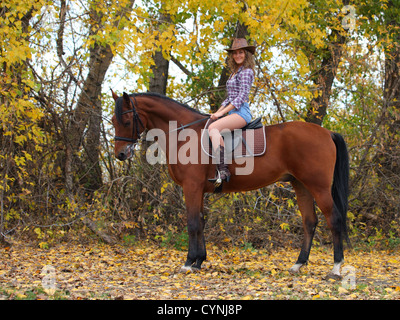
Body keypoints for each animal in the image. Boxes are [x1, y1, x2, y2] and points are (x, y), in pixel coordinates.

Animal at [111, 91, 348, 278]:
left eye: (126, 121)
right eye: (114, 121)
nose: (120, 155)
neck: (184, 135)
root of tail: (327, 132)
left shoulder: (191, 187)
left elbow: (192, 223)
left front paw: (188, 263)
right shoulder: (198, 189)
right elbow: (201, 221)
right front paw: (199, 261)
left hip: (318, 187)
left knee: (334, 219)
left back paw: (336, 268)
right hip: (301, 185)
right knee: (310, 222)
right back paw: (298, 264)